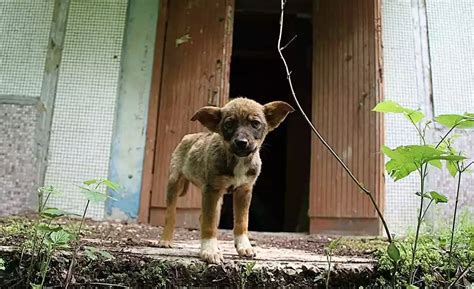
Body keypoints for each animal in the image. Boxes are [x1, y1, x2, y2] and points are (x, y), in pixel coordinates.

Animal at [158, 97, 292, 264]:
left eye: (255, 123)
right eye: (229, 124)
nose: (241, 142)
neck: (238, 161)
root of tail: (188, 137)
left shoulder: (244, 191)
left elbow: (241, 222)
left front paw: (243, 246)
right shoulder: (211, 190)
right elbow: (209, 224)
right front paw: (209, 251)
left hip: (217, 199)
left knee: (204, 217)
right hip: (174, 182)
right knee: (171, 214)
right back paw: (166, 240)